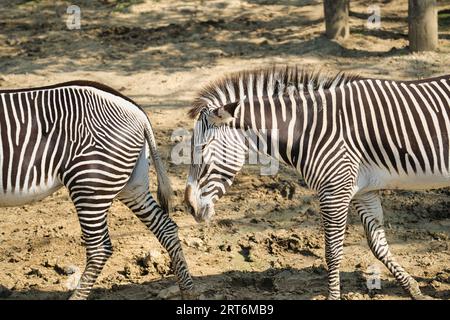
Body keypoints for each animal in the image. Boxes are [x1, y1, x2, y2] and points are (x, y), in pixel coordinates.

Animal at [0, 80, 192, 300]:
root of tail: (138, 112)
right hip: (133, 185)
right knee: (166, 228)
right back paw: (188, 292)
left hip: (90, 184)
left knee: (100, 248)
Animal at [184, 65, 450, 300]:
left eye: (203, 148)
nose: (190, 206)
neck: (310, 130)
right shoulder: (363, 190)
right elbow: (378, 245)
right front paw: (414, 290)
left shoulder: (335, 191)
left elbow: (332, 252)